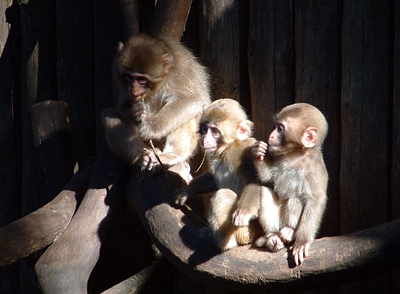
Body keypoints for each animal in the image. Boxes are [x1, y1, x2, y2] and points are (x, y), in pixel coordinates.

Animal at [101, 34, 211, 181]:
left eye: (141, 79)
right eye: (129, 77)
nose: (133, 89)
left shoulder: (181, 73)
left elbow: (193, 100)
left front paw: (151, 127)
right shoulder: (116, 74)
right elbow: (121, 107)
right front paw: (136, 112)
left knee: (191, 113)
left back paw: (172, 155)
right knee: (109, 115)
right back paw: (144, 156)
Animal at [173, 98, 280, 250]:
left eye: (215, 131)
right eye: (205, 129)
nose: (205, 140)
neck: (227, 147)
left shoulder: (240, 154)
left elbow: (256, 180)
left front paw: (243, 212)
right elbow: (214, 178)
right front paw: (187, 190)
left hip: (246, 232)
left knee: (223, 194)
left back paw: (220, 242)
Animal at [253, 102, 328, 266]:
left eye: (280, 129)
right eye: (275, 126)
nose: (271, 135)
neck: (296, 155)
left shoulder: (314, 167)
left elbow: (315, 200)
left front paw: (303, 241)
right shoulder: (279, 158)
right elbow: (269, 179)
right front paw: (258, 151)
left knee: (294, 199)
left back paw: (289, 231)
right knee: (264, 191)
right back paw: (272, 237)